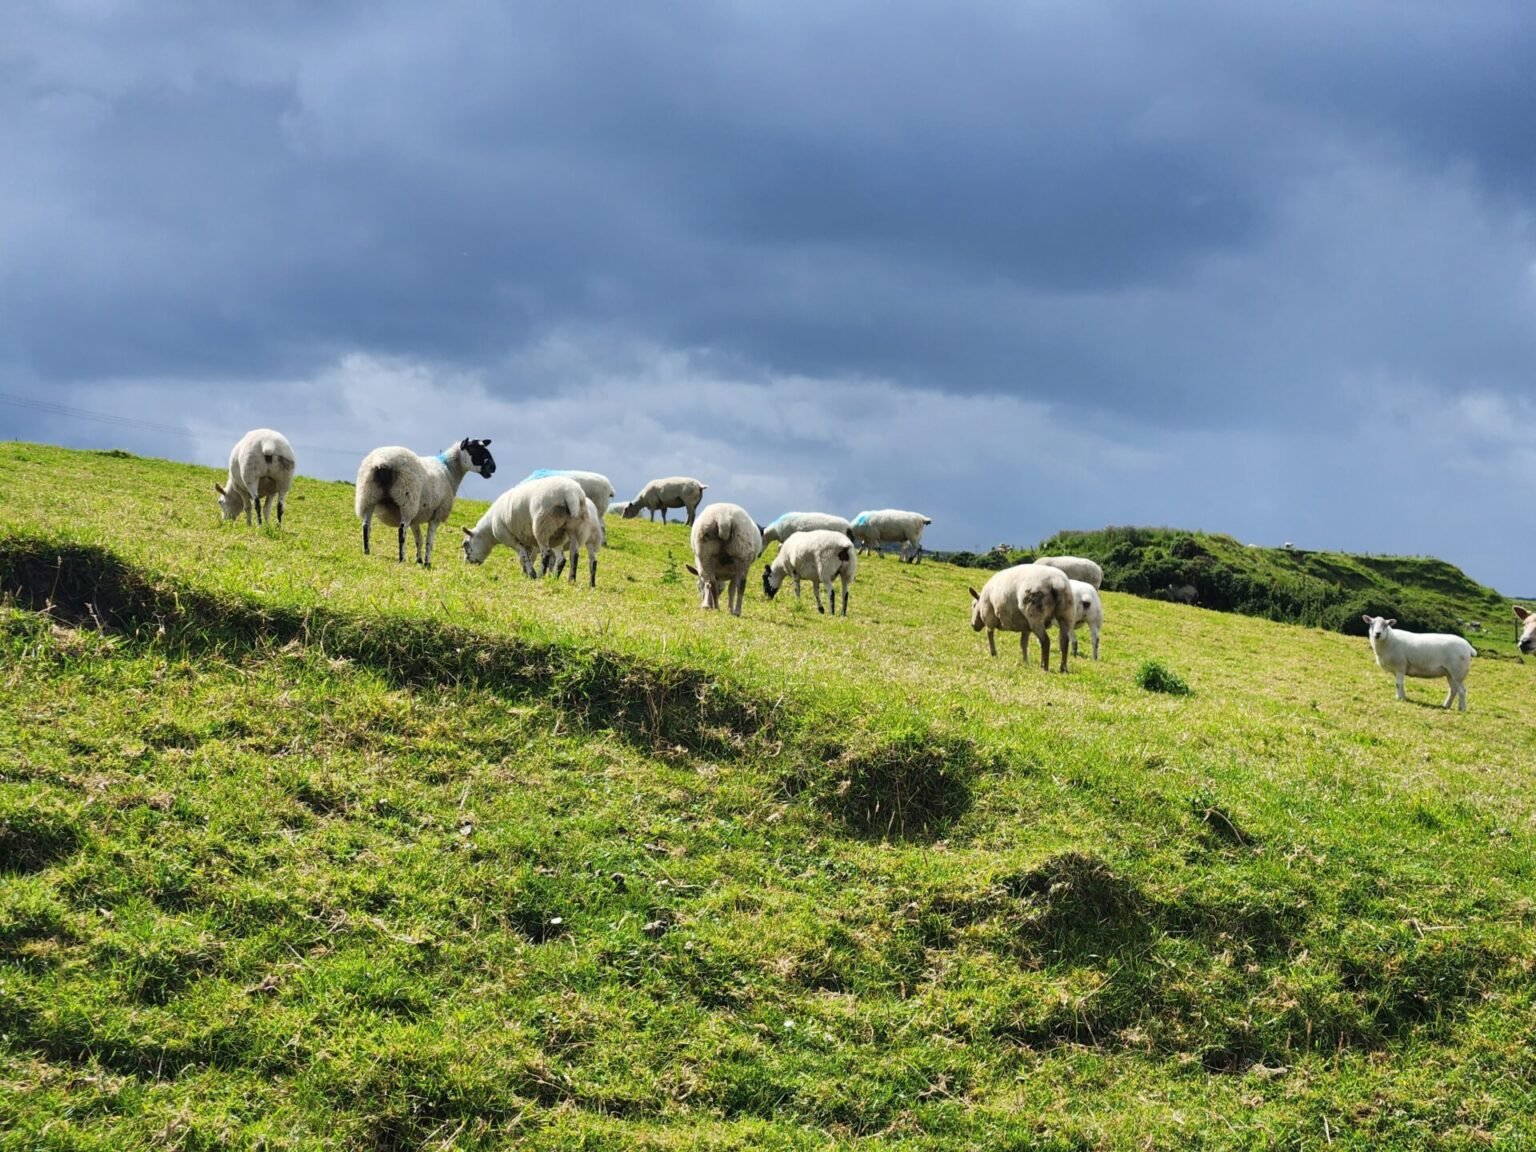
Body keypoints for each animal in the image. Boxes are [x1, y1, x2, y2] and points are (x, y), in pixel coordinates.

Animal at [354, 436, 494, 568]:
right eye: (474, 449)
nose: (493, 467)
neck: (449, 471)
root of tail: (383, 462)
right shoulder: (437, 514)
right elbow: (429, 541)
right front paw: (427, 562)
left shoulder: (417, 515)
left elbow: (419, 539)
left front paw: (419, 560)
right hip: (407, 500)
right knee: (401, 530)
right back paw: (402, 558)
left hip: (369, 495)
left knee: (366, 526)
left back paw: (366, 551)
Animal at [457, 476, 595, 586]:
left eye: (465, 544)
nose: (467, 562)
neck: (490, 528)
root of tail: (571, 494)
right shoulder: (526, 539)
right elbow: (526, 558)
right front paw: (525, 573)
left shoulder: (511, 539)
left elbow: (523, 556)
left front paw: (531, 574)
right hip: (572, 529)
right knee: (572, 555)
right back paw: (570, 579)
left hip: (543, 526)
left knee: (546, 553)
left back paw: (541, 576)